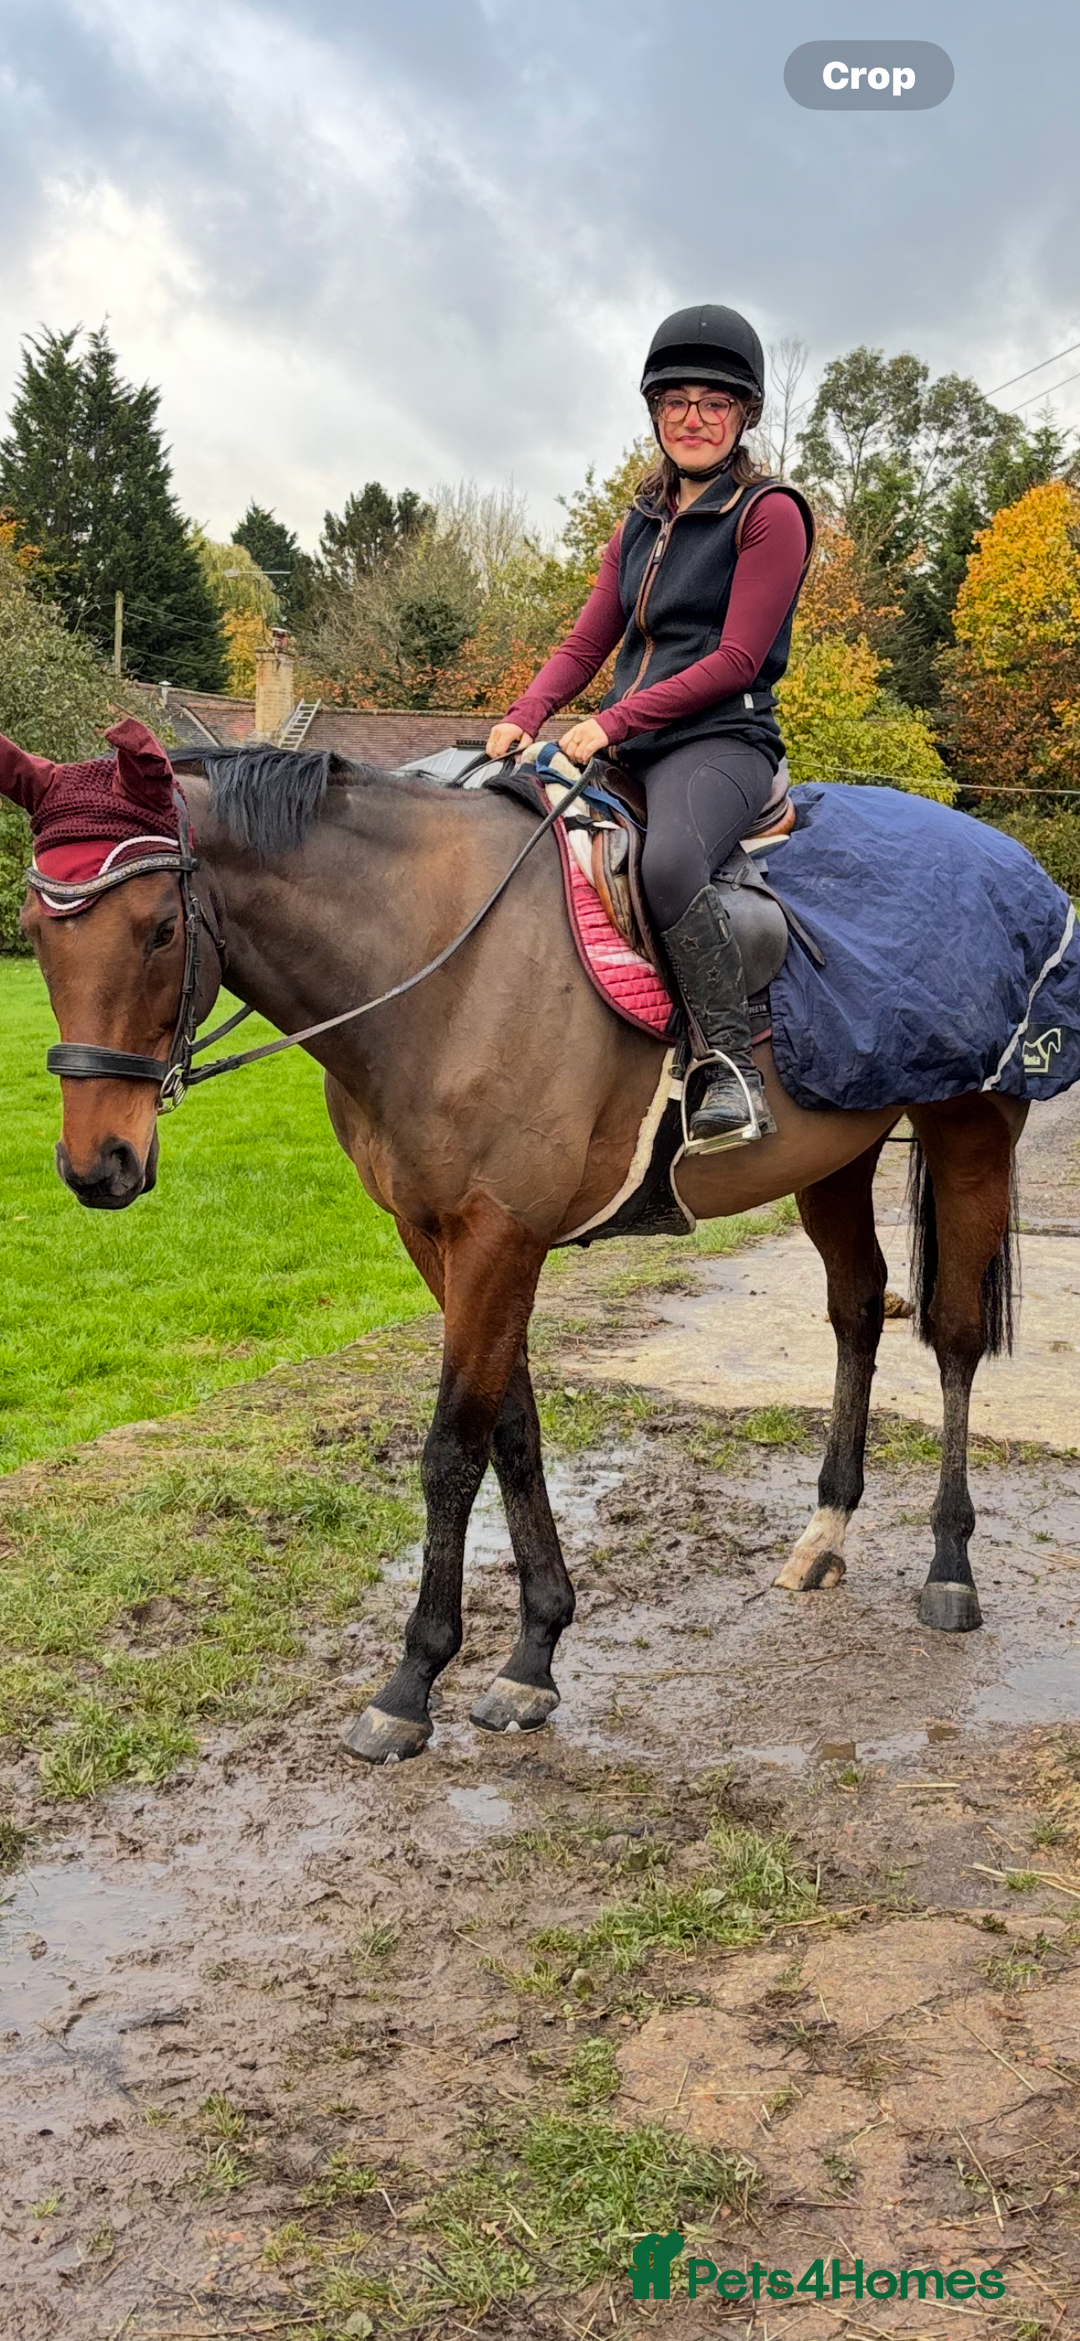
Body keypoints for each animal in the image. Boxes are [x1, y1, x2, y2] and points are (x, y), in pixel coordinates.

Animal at [21, 744, 1023, 1763]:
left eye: (157, 929)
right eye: (33, 932)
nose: (97, 1164)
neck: (437, 966)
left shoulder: (500, 1232)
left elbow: (452, 1446)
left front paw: (412, 1681)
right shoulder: (437, 1236)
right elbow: (515, 1429)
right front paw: (534, 1651)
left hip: (972, 1133)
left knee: (953, 1334)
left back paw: (950, 1563)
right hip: (835, 1158)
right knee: (858, 1308)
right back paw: (825, 1534)